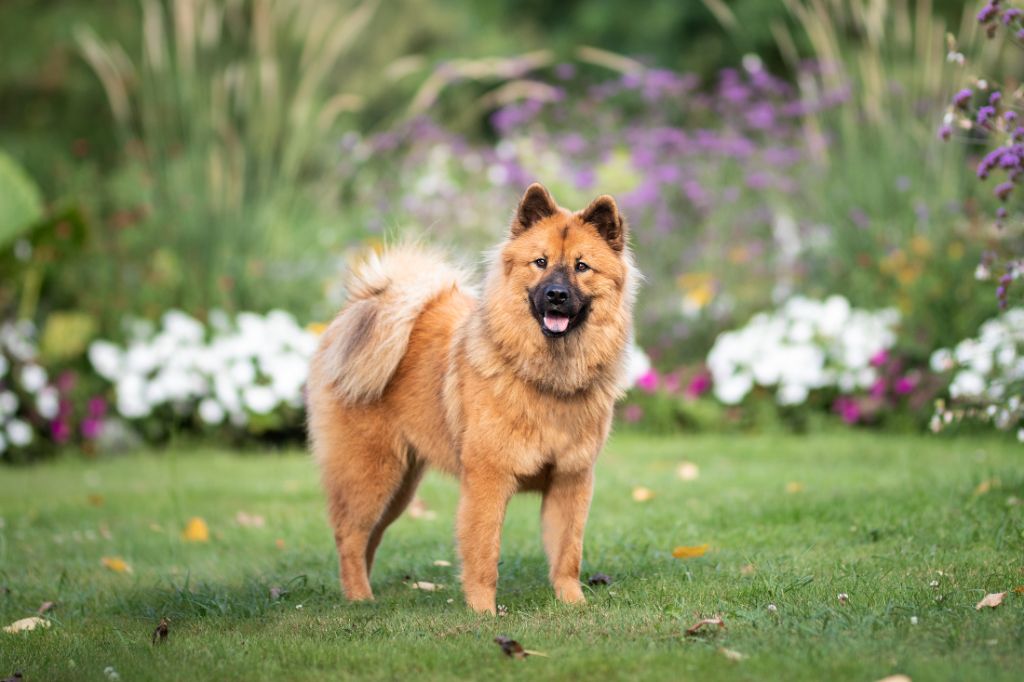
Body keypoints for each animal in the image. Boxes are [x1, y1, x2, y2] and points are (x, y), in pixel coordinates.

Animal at [307, 183, 634, 614]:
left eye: (582, 267)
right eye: (540, 262)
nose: (557, 295)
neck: (545, 376)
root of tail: (357, 310)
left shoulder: (570, 480)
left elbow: (567, 553)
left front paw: (573, 604)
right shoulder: (487, 480)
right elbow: (483, 551)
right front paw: (483, 611)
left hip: (400, 486)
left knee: (368, 537)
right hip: (370, 473)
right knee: (350, 535)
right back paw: (359, 599)